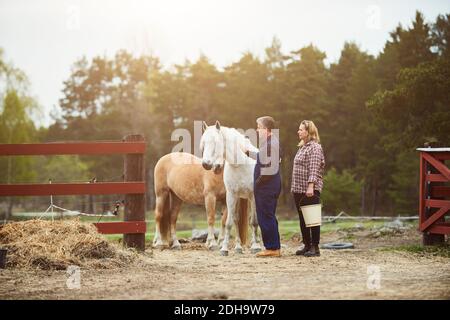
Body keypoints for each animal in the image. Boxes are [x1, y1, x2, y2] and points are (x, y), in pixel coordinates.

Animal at [200, 121, 264, 256]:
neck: (240, 165)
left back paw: (257, 244)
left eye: (216, 142)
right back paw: (239, 247)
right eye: (204, 143)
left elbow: (254, 222)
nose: (206, 164)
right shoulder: (231, 195)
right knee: (236, 220)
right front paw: (225, 249)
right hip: (239, 198)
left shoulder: (253, 196)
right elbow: (230, 222)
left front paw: (256, 247)